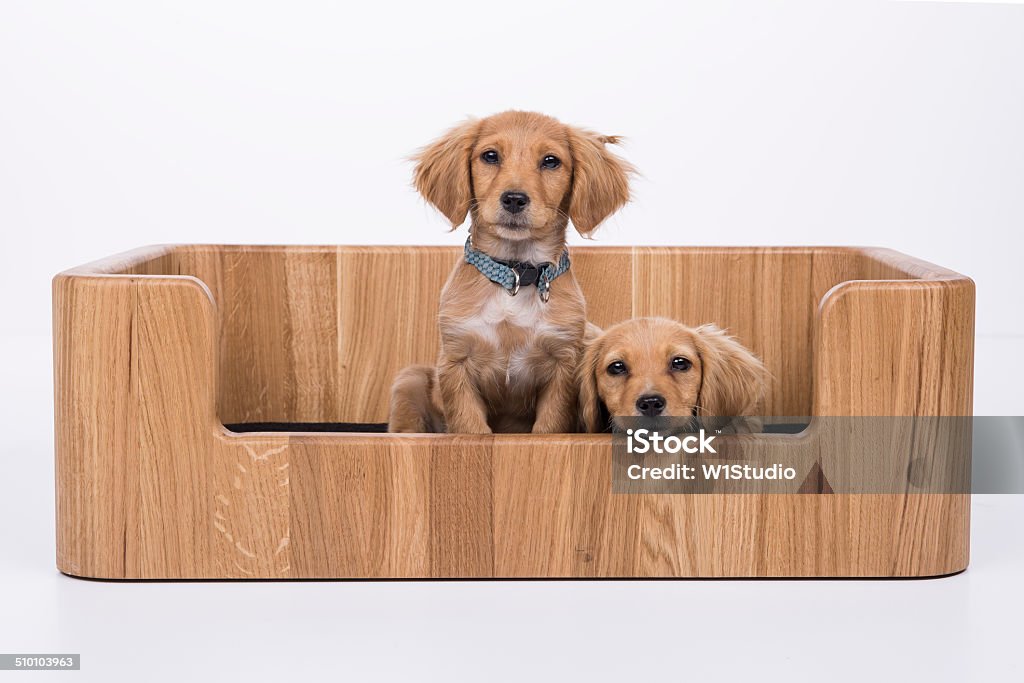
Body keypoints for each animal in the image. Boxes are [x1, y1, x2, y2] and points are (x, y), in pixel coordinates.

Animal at [387, 111, 630, 432]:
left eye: (551, 161)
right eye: (490, 156)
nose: (514, 199)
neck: (515, 275)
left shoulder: (562, 364)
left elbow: (548, 426)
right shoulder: (456, 361)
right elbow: (469, 426)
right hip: (409, 379)